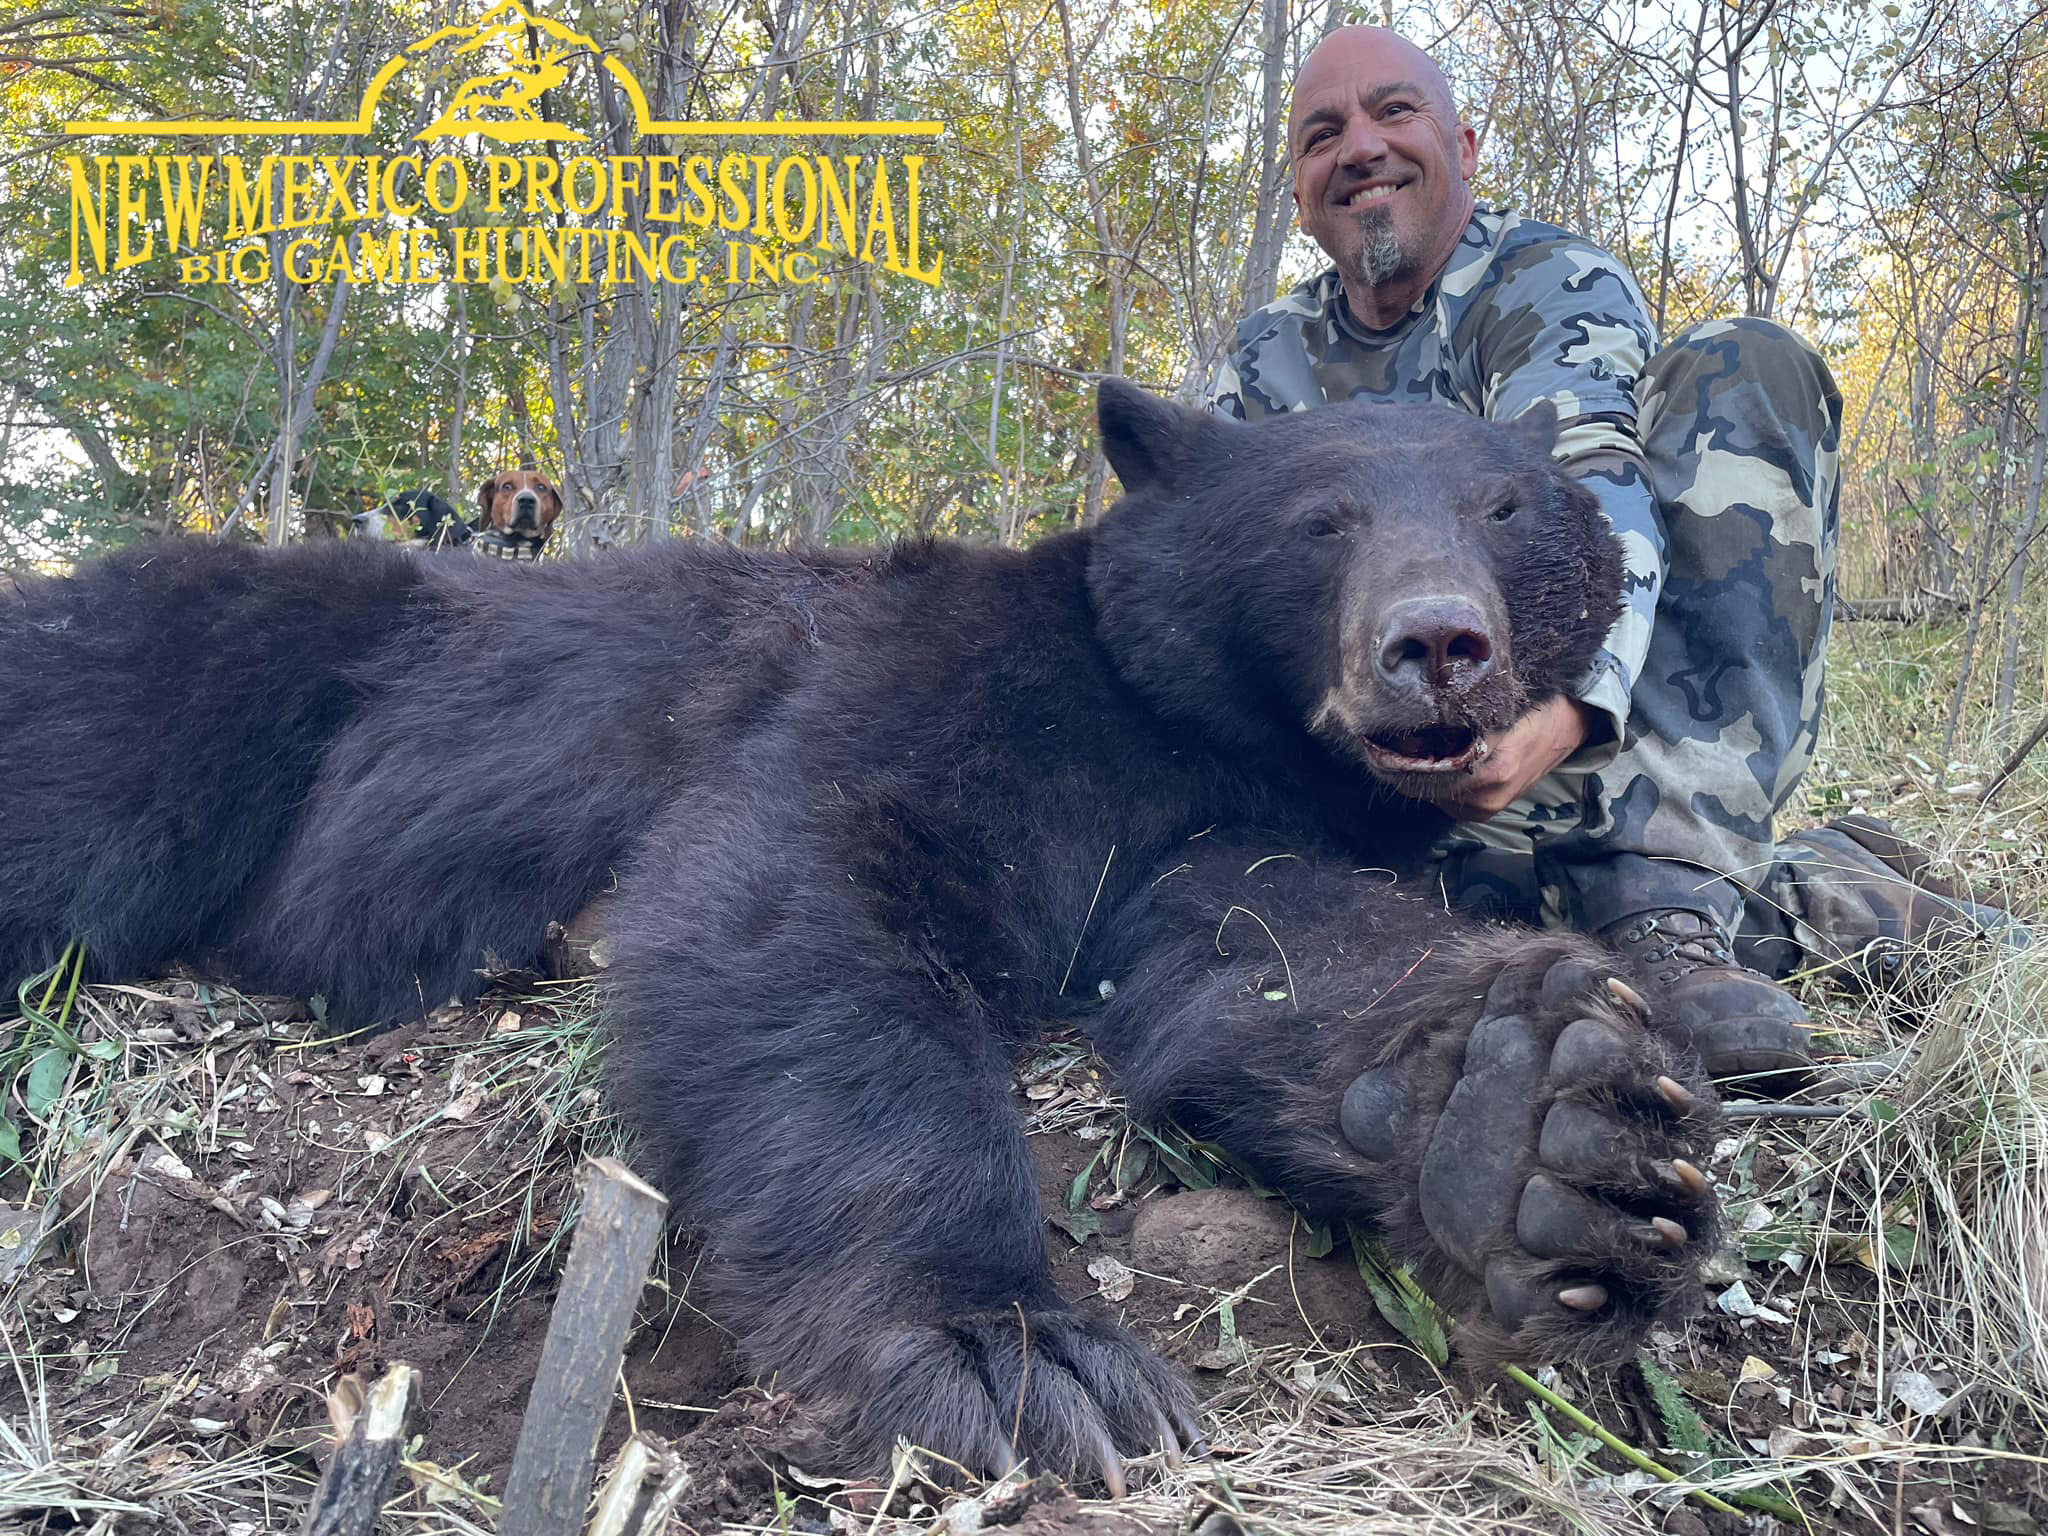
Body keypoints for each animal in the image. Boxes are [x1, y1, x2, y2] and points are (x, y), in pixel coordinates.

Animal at [0, 383, 1719, 1491]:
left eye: (1505, 508)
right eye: (1320, 519)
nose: (1436, 642)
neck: (1172, 721)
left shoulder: (1214, 824)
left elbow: (1270, 959)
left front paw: (1547, 1133)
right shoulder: (924, 686)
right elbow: (801, 885)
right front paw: (1018, 1353)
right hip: (239, 672)